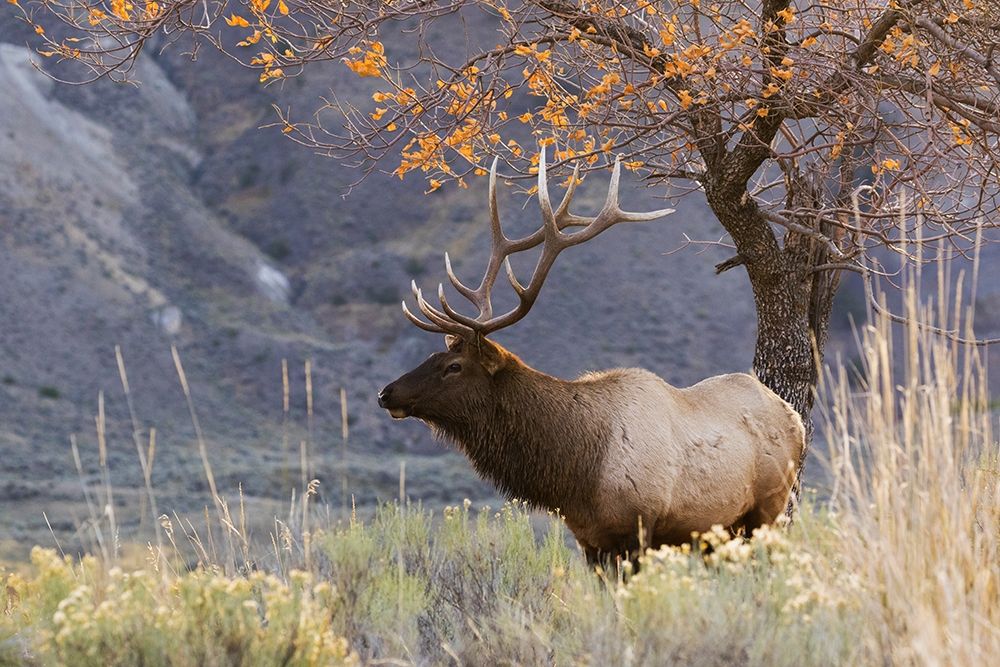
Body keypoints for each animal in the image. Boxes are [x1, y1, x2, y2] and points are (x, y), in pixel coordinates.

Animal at [376, 150, 804, 564]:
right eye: (434, 354)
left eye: (454, 366)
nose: (386, 393)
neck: (578, 477)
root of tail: (795, 418)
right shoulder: (589, 540)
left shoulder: (638, 527)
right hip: (721, 532)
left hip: (767, 508)